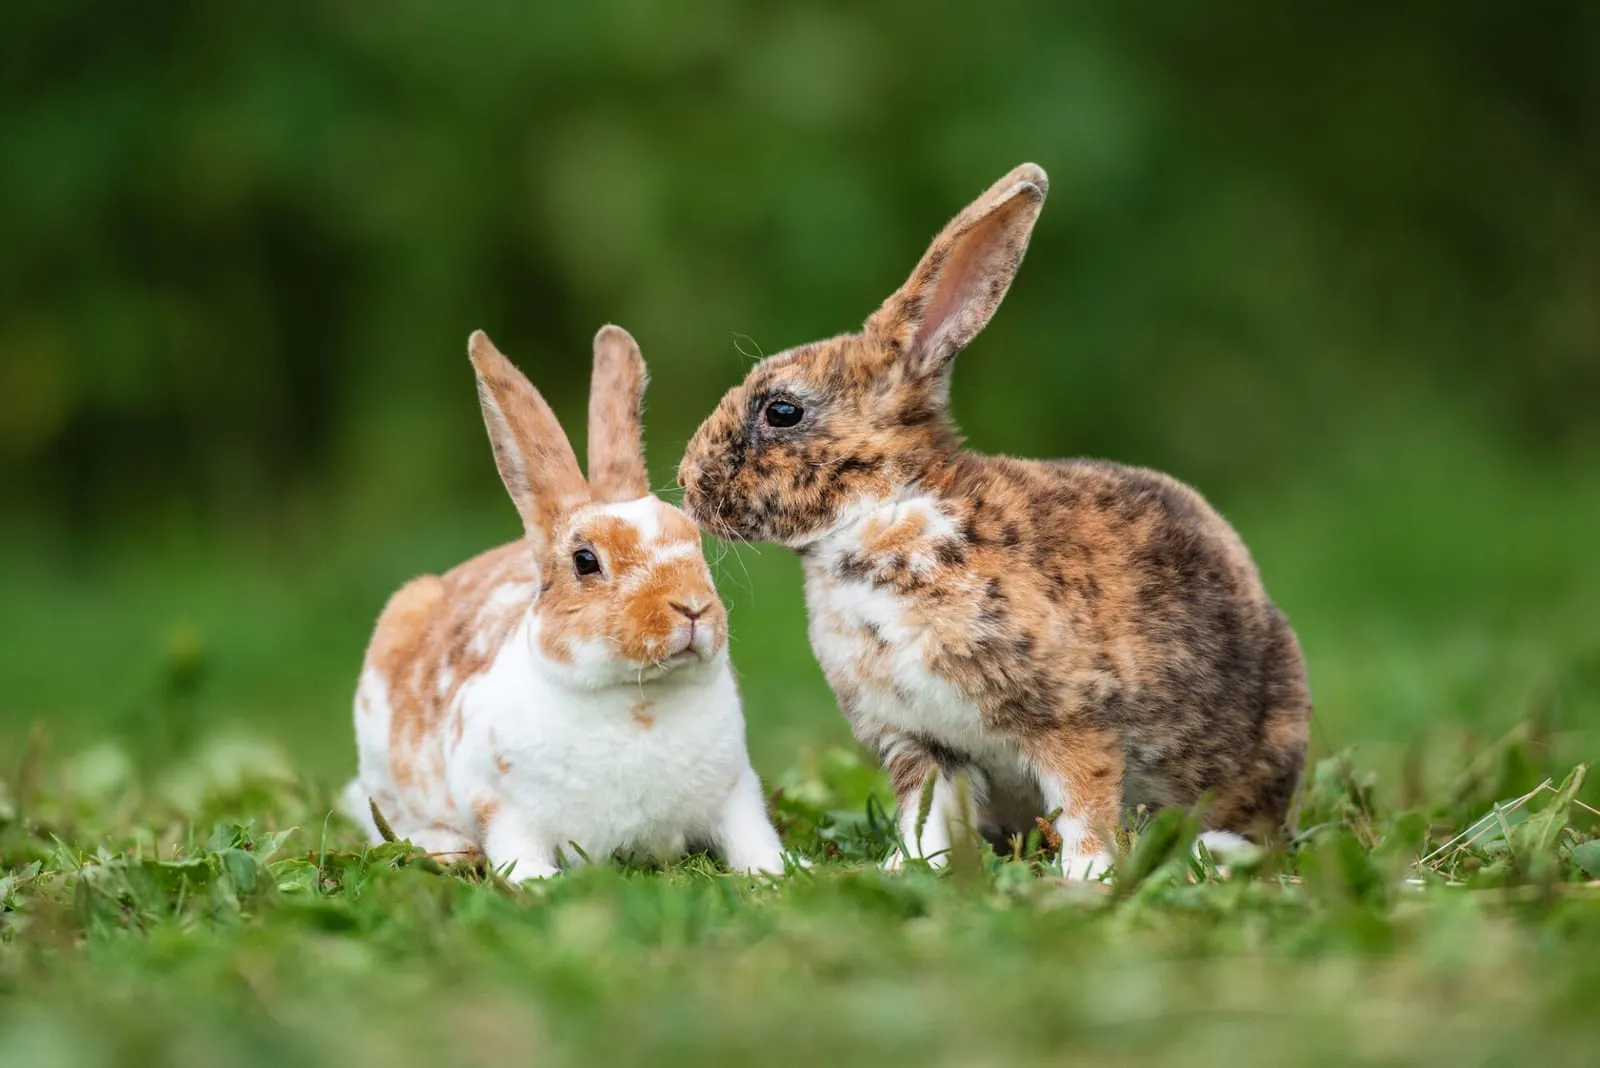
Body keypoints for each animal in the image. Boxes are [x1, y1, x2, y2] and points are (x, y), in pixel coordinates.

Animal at [341, 326, 788, 879]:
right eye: (585, 561)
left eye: (694, 541)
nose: (690, 607)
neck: (638, 699)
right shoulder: (502, 807)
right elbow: (517, 849)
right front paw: (536, 882)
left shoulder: (735, 793)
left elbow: (753, 838)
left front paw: (784, 870)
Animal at [676, 164, 1311, 879]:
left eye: (782, 411)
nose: (687, 484)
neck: (885, 513)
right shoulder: (924, 744)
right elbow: (922, 817)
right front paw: (905, 870)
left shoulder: (1075, 726)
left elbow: (1085, 808)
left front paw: (1085, 879)